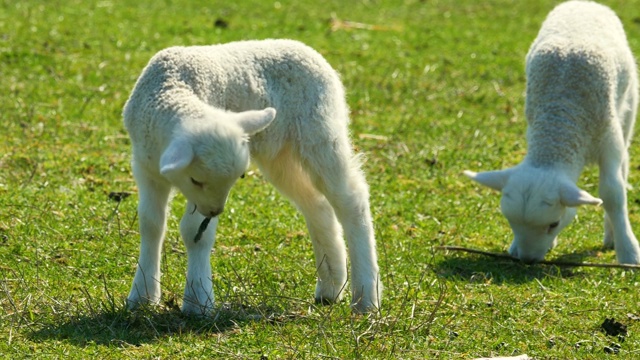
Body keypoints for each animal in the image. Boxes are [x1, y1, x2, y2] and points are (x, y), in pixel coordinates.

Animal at [123, 39, 382, 316]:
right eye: (196, 180)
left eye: (238, 177)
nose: (215, 211)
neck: (173, 89)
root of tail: (306, 48)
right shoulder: (146, 169)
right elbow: (150, 224)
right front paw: (142, 296)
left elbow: (195, 231)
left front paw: (198, 300)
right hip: (280, 154)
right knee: (316, 205)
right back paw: (331, 286)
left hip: (320, 131)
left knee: (351, 199)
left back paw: (366, 298)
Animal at [464, 0, 640, 264]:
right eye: (510, 221)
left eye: (553, 224)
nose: (527, 259)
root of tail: (584, 3)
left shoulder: (608, 139)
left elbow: (612, 194)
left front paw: (629, 252)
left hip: (627, 108)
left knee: (624, 166)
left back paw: (612, 234)